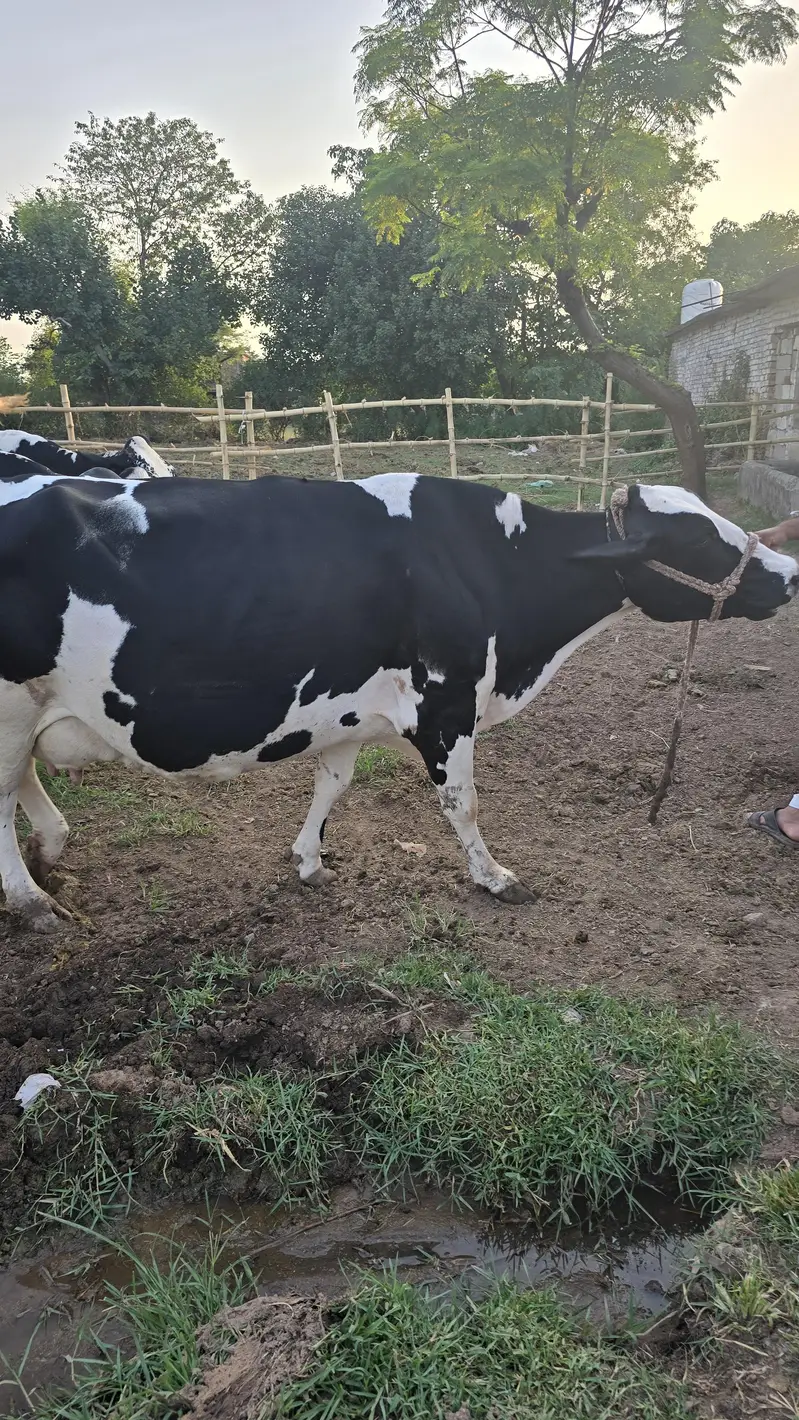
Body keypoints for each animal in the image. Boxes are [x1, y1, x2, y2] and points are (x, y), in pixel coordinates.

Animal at [0, 469, 795, 931]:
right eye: (704, 543)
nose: (788, 572)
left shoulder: (348, 708)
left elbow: (333, 782)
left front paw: (309, 861)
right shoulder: (448, 702)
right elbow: (461, 803)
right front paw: (494, 878)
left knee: (24, 782)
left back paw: (54, 847)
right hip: (9, 708)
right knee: (3, 796)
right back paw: (32, 900)